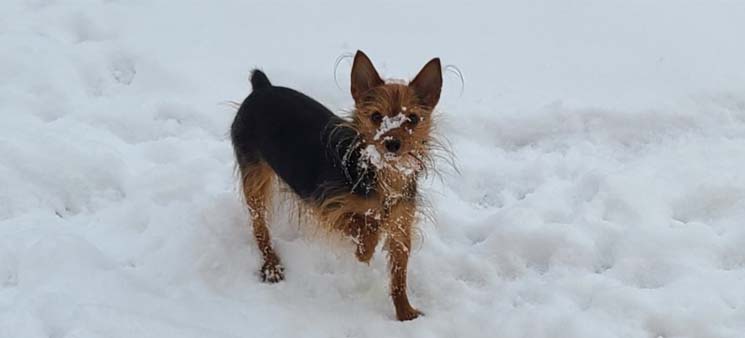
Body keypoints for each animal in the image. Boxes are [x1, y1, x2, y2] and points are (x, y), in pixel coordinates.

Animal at [230, 50, 442, 320]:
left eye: (412, 119)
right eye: (376, 117)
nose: (392, 144)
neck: (381, 174)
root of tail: (262, 87)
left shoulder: (401, 225)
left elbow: (398, 275)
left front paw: (406, 314)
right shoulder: (329, 207)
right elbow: (364, 227)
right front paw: (364, 250)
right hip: (254, 178)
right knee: (259, 226)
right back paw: (271, 265)